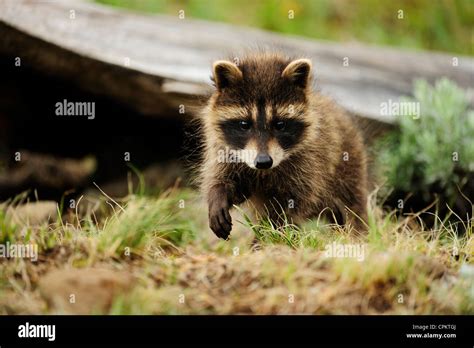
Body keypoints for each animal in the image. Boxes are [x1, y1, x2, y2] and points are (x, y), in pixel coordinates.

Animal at [198, 52, 368, 239]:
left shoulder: (310, 162)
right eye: (244, 124)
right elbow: (225, 180)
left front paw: (269, 235)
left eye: (280, 125)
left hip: (349, 169)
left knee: (352, 205)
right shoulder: (224, 151)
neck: (264, 172)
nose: (263, 161)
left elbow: (290, 205)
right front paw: (218, 195)